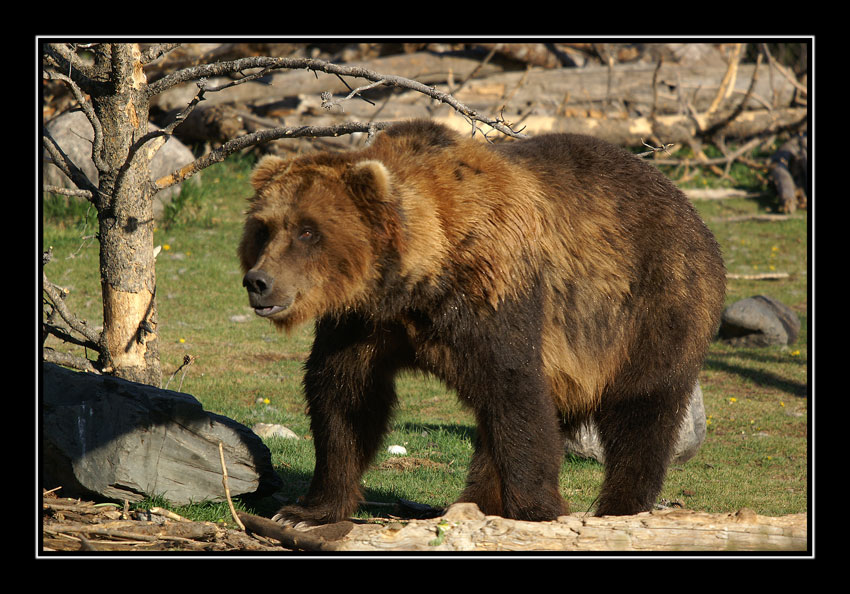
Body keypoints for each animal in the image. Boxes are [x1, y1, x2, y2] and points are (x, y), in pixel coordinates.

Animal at [237, 119, 724, 524]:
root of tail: (688, 207)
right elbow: (345, 396)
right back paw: (473, 502)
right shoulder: (363, 320)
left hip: (651, 306)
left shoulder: (495, 292)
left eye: (307, 230)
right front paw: (305, 512)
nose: (258, 282)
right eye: (264, 227)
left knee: (642, 410)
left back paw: (619, 508)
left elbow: (515, 392)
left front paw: (538, 511)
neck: (421, 278)